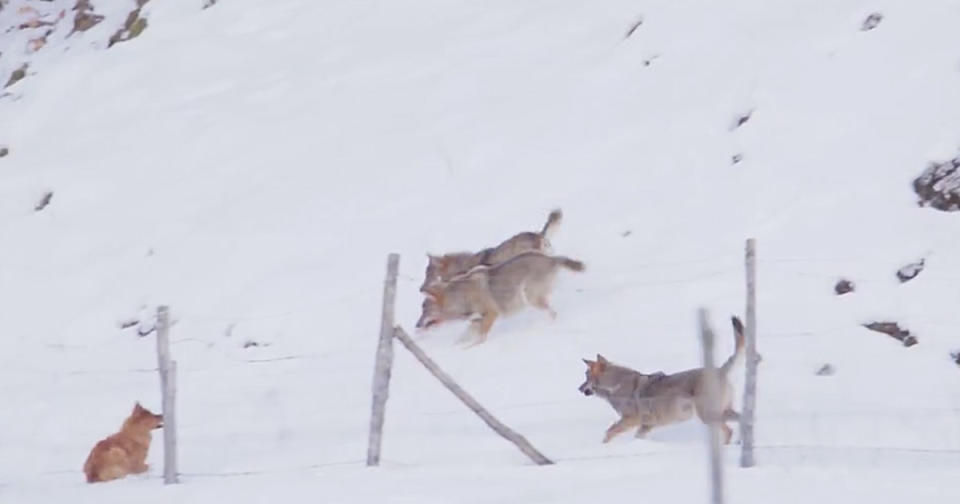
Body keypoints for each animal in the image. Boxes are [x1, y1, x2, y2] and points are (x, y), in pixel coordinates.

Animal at [414, 250, 580, 344]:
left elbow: (479, 340)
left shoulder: (491, 314)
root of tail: (551, 259)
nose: (417, 325)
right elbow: (462, 339)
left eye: (425, 311)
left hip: (530, 297)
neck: (461, 296)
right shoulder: (476, 321)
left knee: (553, 313)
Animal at [572, 316, 748, 442]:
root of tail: (719, 370)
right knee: (742, 420)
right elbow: (635, 436)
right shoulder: (646, 425)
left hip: (708, 416)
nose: (578, 388)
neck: (616, 385)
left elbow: (608, 433)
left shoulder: (631, 420)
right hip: (721, 412)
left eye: (586, 376)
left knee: (729, 430)